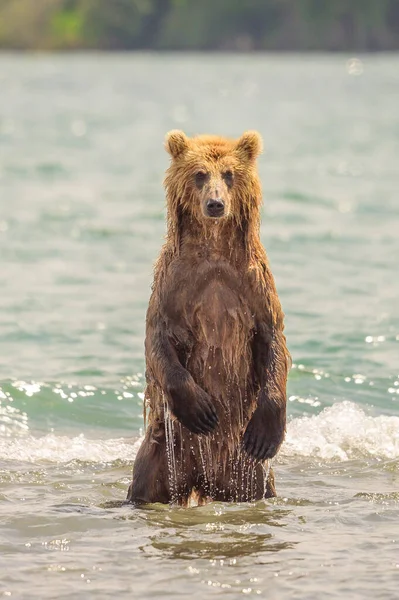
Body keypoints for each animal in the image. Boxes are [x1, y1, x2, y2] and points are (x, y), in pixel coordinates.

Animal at [128, 130, 290, 506]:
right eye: (200, 174)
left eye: (229, 174)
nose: (215, 204)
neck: (214, 248)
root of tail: (207, 482)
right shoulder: (173, 282)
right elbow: (157, 337)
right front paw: (199, 409)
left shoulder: (255, 282)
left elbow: (273, 337)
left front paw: (269, 429)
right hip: (165, 453)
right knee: (142, 483)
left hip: (248, 470)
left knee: (261, 486)